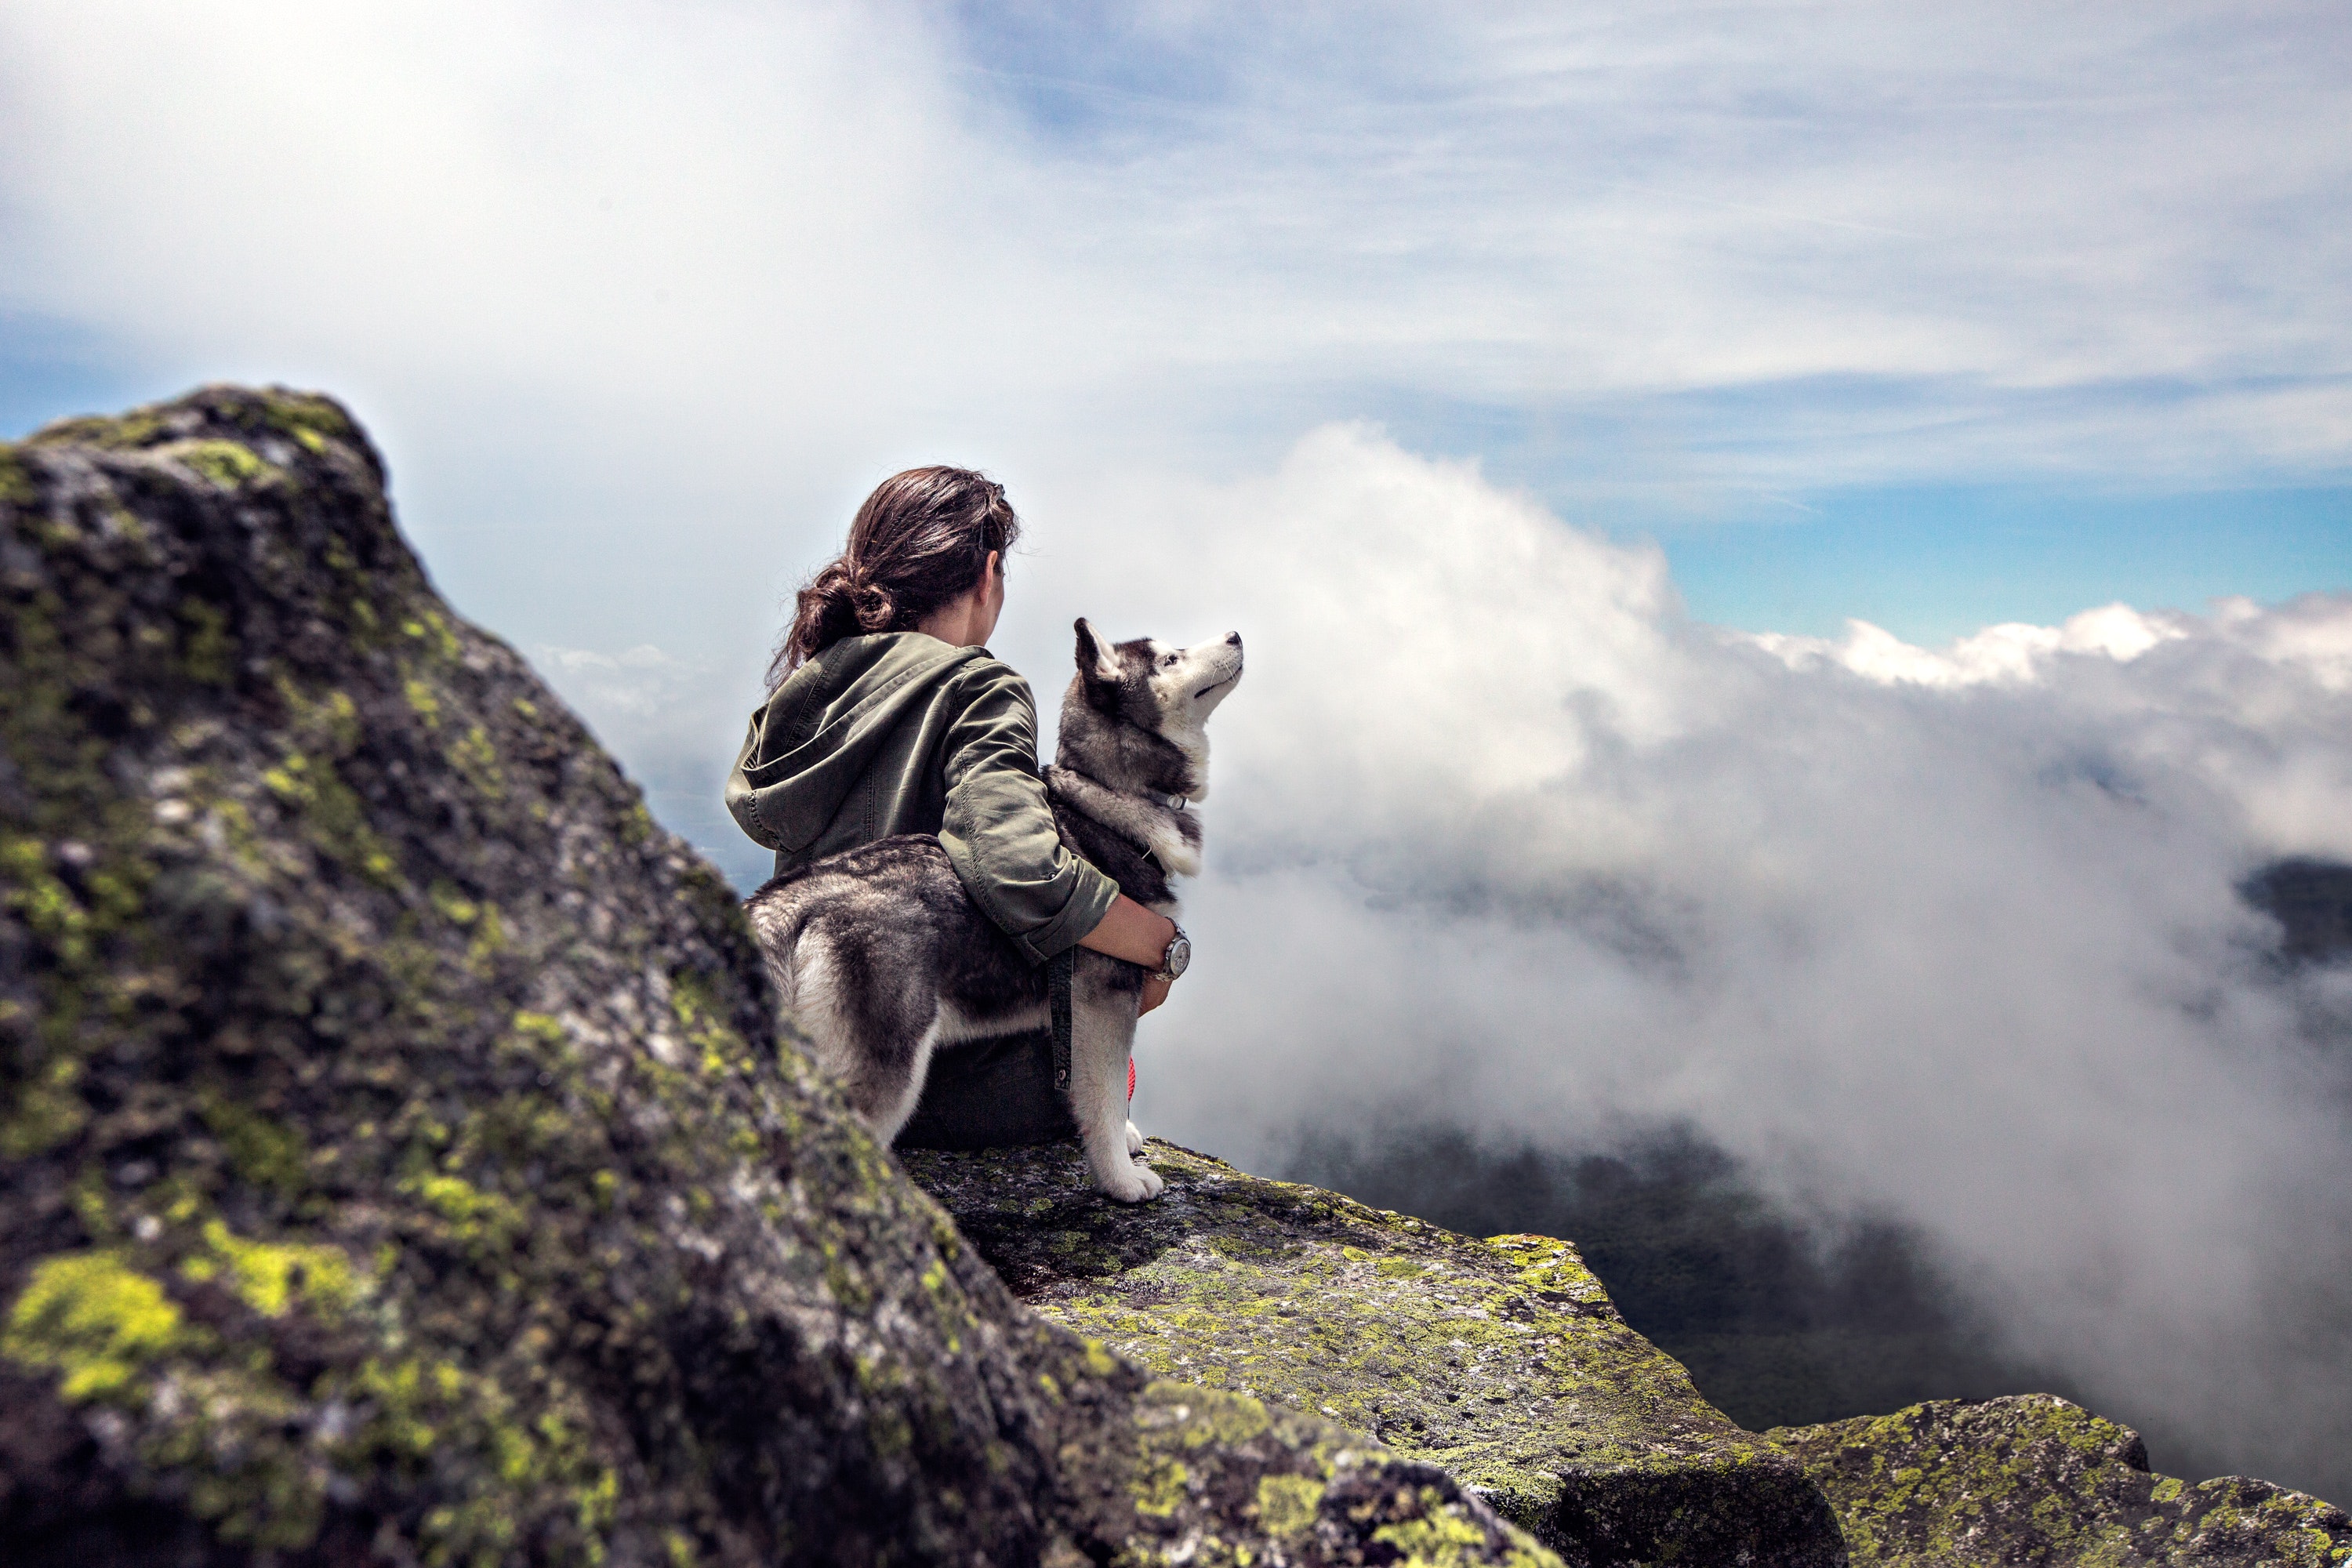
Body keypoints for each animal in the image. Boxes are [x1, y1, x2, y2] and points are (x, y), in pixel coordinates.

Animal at [743, 615, 1242, 1203]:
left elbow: (1096, 1091)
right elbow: (1104, 1092)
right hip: (885, 1069)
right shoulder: (1104, 1001)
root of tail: (791, 899)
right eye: (1170, 659)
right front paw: (1119, 1178)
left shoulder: (1074, 1017)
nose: (1236, 635)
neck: (1107, 796)